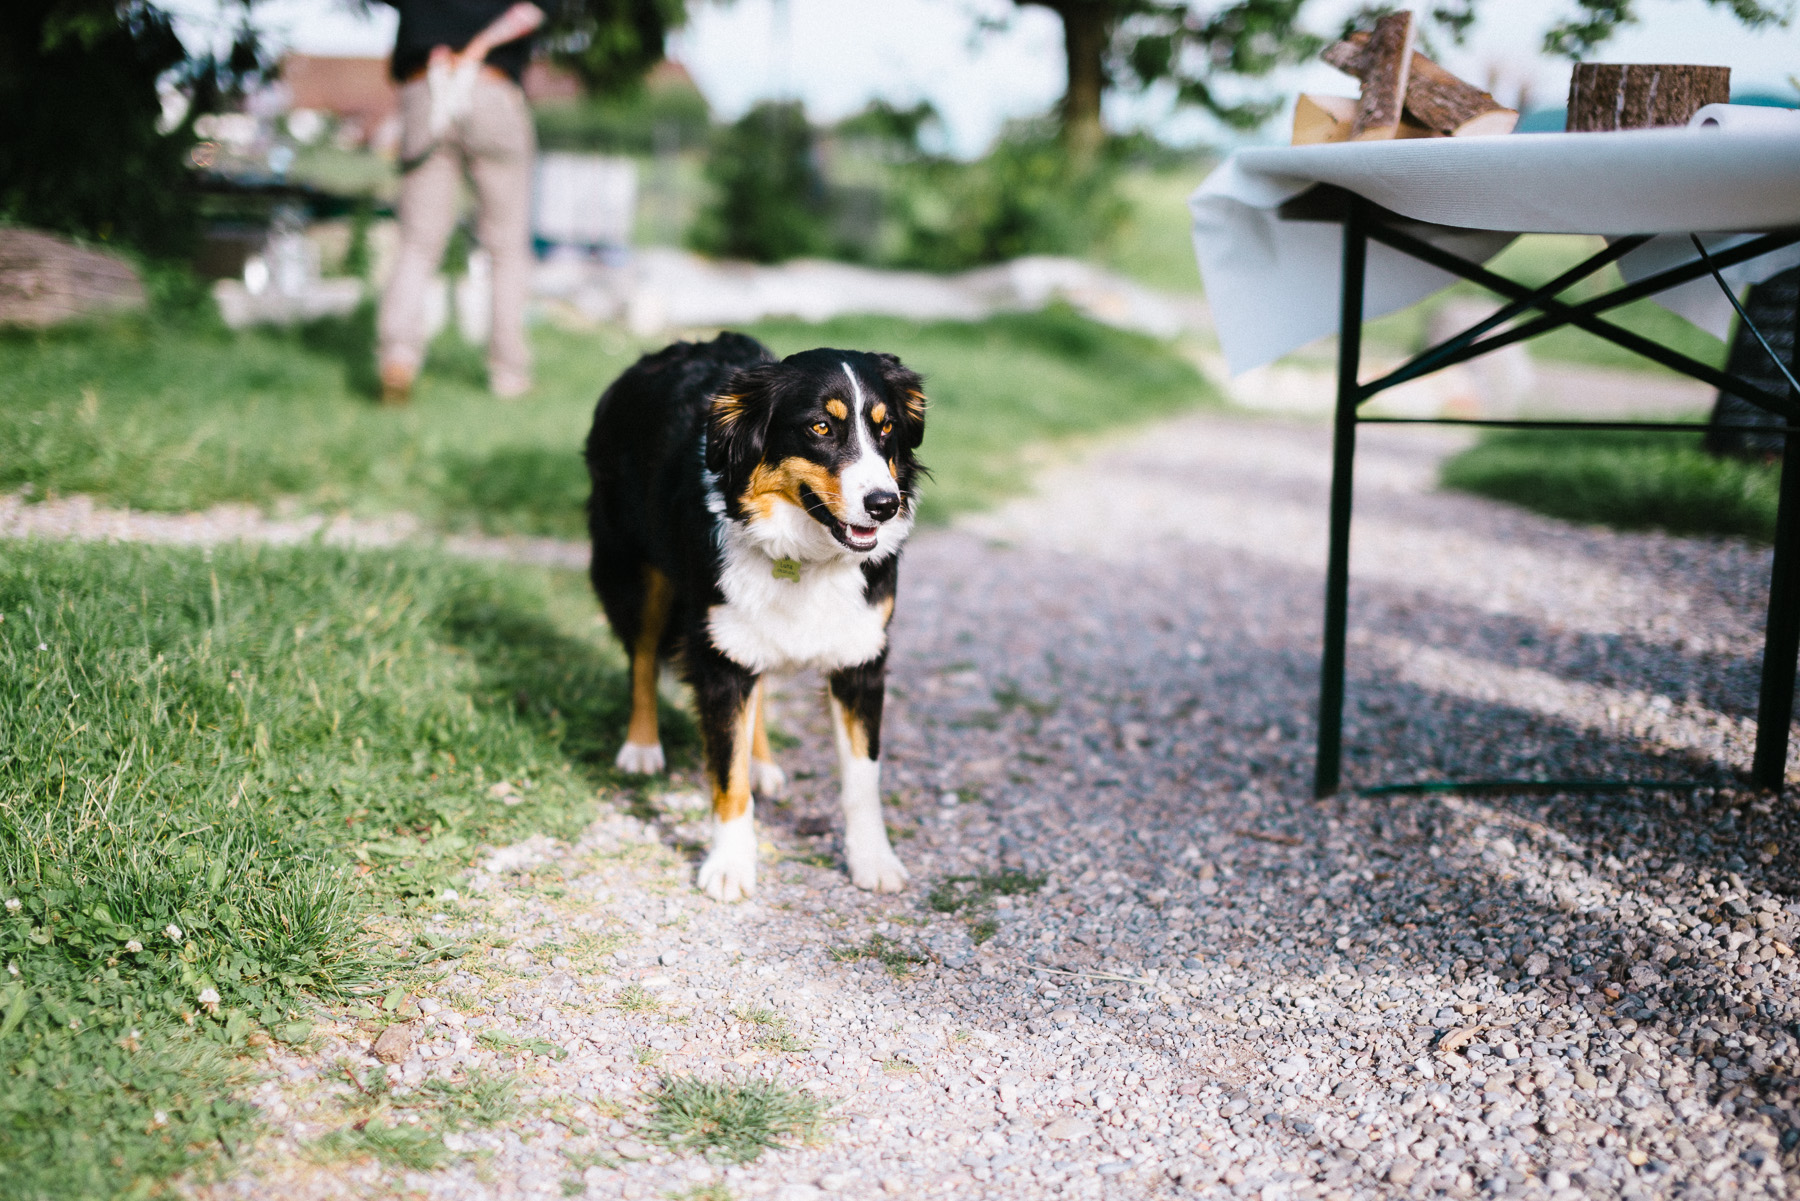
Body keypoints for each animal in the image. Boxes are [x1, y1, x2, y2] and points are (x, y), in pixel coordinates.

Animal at [583, 333, 928, 896]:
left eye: (886, 428)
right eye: (820, 427)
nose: (884, 505)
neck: (803, 554)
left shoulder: (861, 658)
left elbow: (863, 777)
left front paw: (873, 861)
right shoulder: (719, 657)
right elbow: (728, 776)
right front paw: (729, 866)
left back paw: (762, 762)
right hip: (637, 570)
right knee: (642, 656)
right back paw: (641, 747)